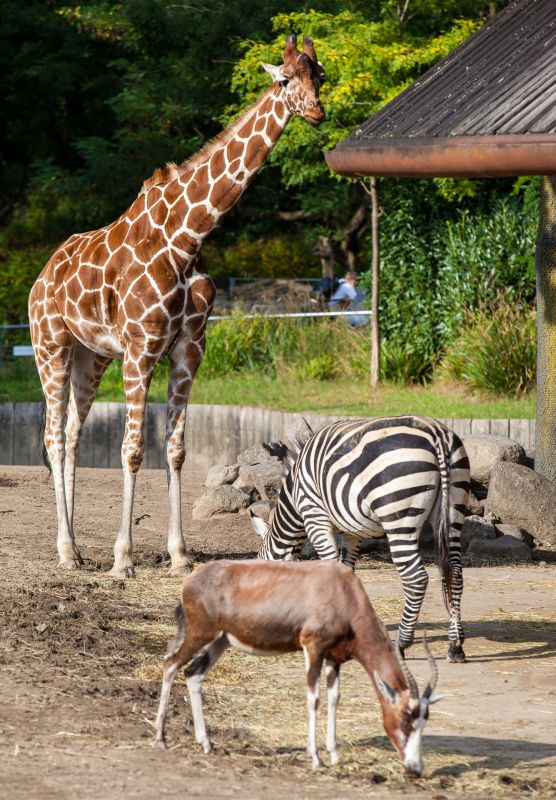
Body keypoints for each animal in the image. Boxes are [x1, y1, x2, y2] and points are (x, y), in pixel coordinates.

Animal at [29, 34, 326, 580]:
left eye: (319, 77)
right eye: (283, 80)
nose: (316, 112)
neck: (189, 237)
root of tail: (41, 277)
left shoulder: (189, 348)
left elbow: (176, 449)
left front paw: (180, 555)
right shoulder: (141, 348)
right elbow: (132, 449)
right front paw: (123, 559)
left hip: (91, 356)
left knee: (75, 433)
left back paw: (77, 544)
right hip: (50, 346)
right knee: (53, 435)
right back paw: (64, 550)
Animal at [155, 556, 438, 776]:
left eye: (424, 722)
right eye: (405, 718)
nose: (415, 769)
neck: (340, 587)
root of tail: (192, 578)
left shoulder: (334, 658)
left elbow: (334, 698)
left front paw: (334, 754)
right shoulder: (313, 648)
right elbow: (314, 698)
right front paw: (316, 759)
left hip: (220, 641)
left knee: (193, 674)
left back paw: (206, 744)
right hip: (200, 634)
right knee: (171, 664)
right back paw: (160, 739)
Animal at [251, 416, 470, 660]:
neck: (294, 496)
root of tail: (436, 433)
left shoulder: (315, 516)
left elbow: (330, 568)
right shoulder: (351, 530)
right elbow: (346, 571)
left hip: (398, 514)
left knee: (416, 578)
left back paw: (400, 645)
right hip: (454, 509)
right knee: (455, 573)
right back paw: (455, 645)